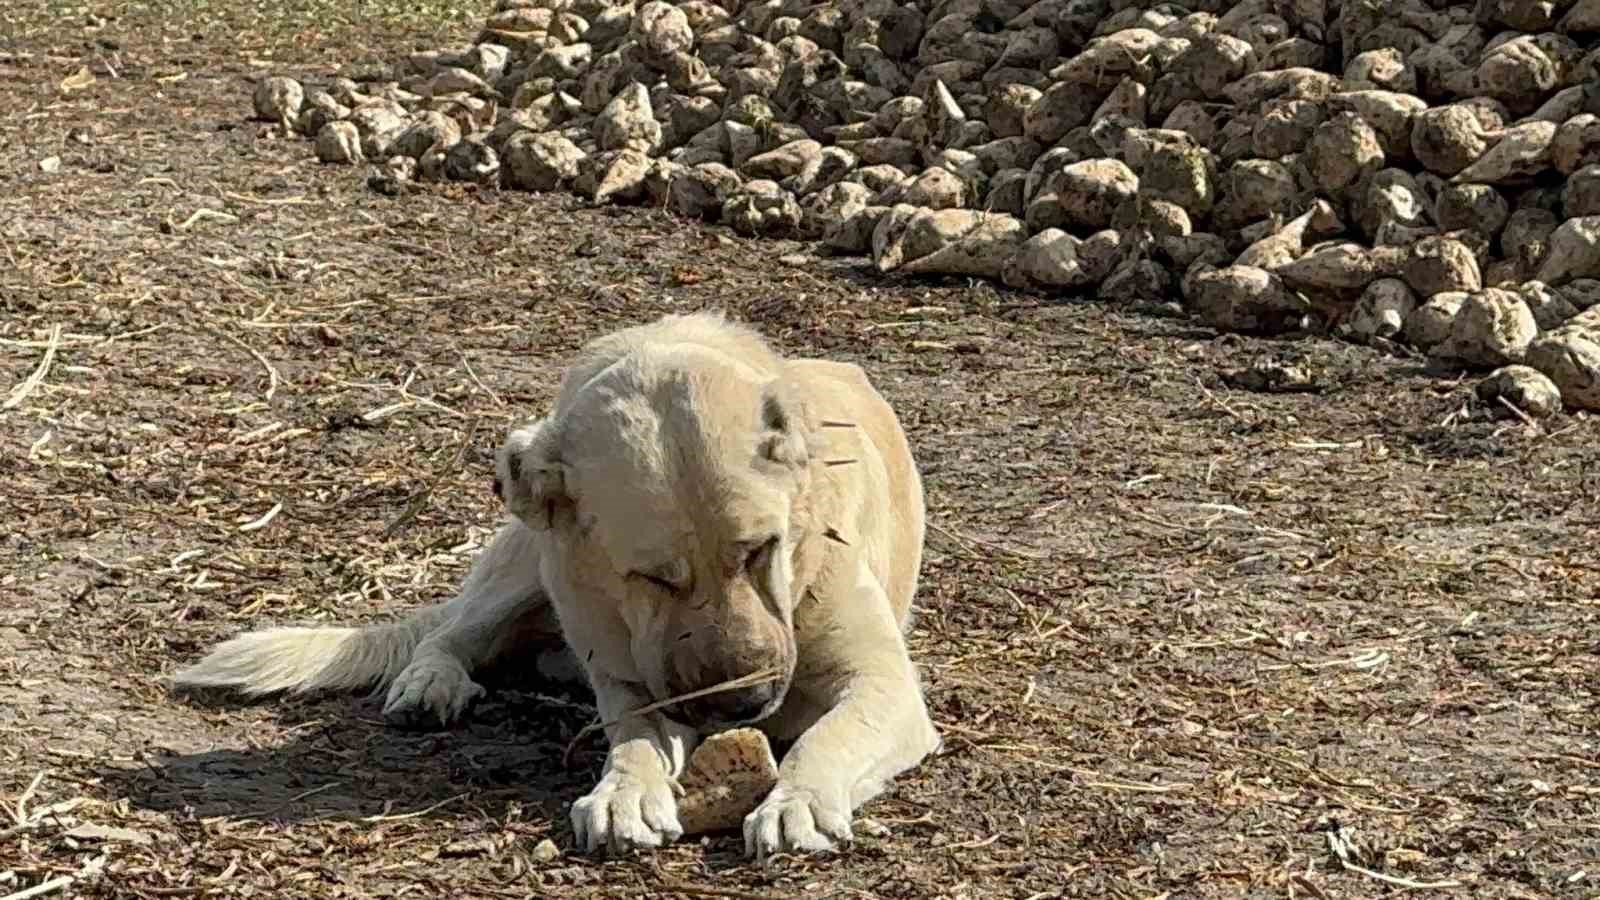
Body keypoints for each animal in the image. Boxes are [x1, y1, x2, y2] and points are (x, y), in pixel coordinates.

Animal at [175, 312, 940, 858]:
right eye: (652, 577)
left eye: (760, 551)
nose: (744, 705)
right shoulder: (634, 686)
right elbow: (631, 740)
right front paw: (625, 793)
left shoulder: (885, 686)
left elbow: (828, 736)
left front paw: (797, 799)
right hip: (528, 567)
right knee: (450, 635)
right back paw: (431, 684)